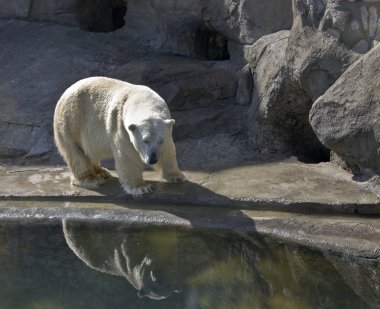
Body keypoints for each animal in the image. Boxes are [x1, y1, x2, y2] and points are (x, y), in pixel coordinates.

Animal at [52, 76, 186, 195]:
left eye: (160, 140)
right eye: (145, 140)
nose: (152, 159)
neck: (142, 99)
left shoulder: (167, 129)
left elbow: (168, 150)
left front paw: (177, 176)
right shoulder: (120, 126)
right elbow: (128, 155)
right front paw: (141, 187)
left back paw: (102, 171)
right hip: (71, 123)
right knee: (76, 154)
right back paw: (91, 179)